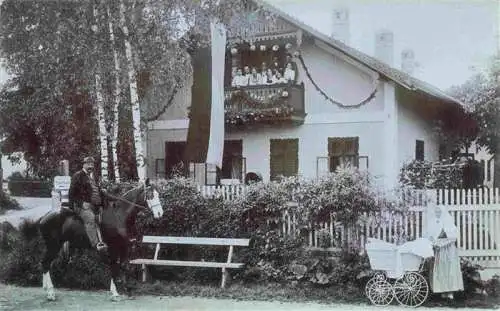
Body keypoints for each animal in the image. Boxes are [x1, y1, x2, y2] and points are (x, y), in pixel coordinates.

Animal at [22, 179, 163, 304]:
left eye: (158, 194)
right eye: (150, 194)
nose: (160, 213)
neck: (119, 215)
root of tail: (44, 217)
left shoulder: (124, 247)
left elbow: (123, 266)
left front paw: (128, 291)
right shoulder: (114, 247)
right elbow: (114, 267)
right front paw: (115, 293)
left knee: (45, 264)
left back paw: (46, 289)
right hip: (53, 245)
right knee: (45, 264)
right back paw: (50, 293)